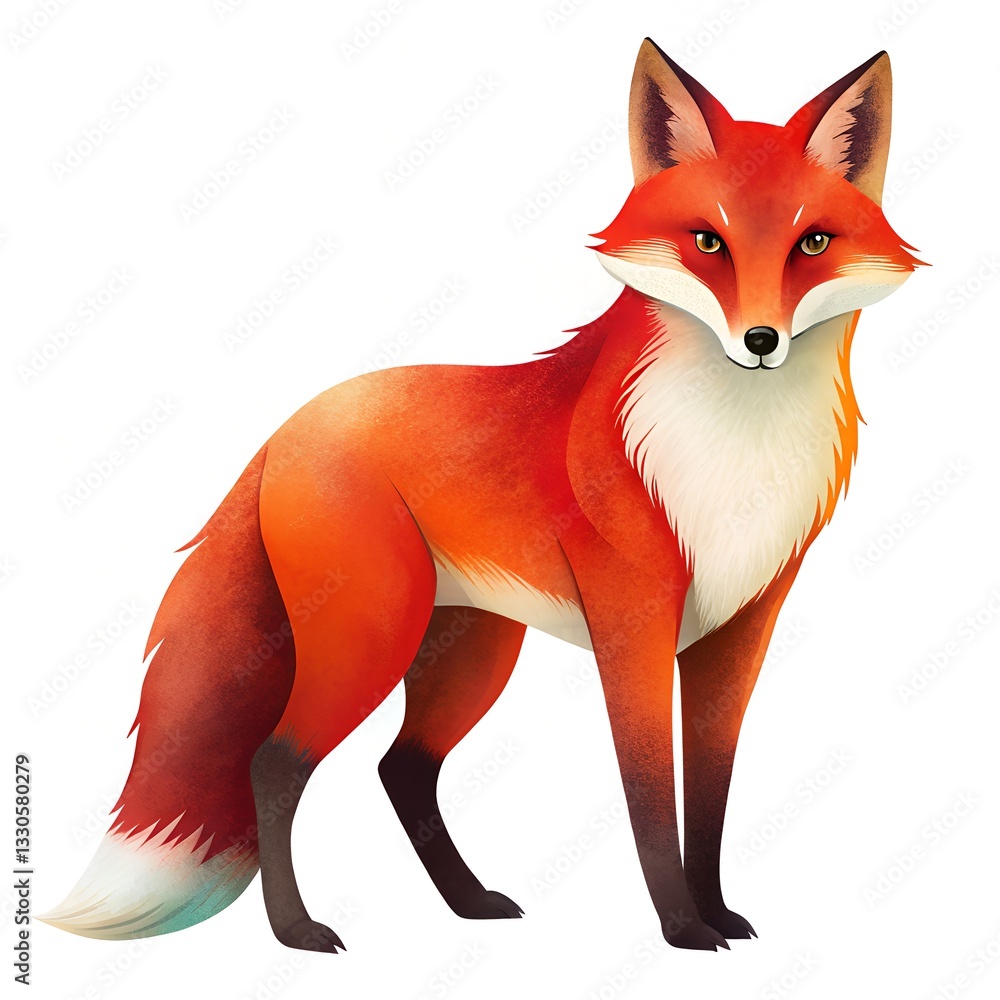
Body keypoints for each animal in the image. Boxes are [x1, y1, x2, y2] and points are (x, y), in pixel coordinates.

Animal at [42, 39, 921, 953]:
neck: (734, 455)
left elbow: (709, 794)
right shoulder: (634, 625)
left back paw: (467, 901)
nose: (760, 341)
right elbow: (649, 794)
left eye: (812, 242)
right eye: (708, 241)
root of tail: (292, 425)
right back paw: (298, 929)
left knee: (402, 768)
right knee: (275, 762)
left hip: (472, 653)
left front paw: (715, 911)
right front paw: (681, 926)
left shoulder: (739, 628)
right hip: (371, 638)